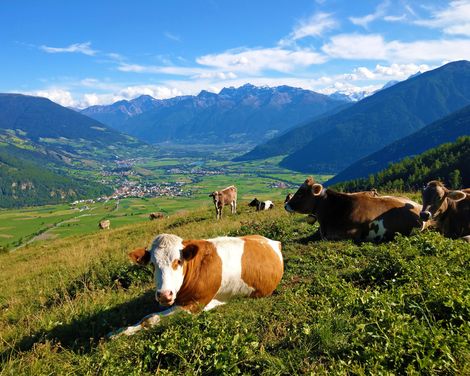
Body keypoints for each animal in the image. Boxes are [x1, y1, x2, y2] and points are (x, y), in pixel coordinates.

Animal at [109, 234, 282, 336]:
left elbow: (151, 318)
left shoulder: (195, 305)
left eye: (178, 261)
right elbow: (145, 316)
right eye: (152, 264)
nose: (164, 295)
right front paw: (119, 332)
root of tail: (271, 241)